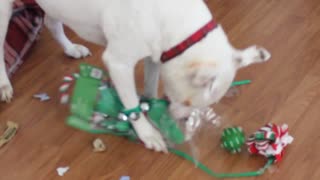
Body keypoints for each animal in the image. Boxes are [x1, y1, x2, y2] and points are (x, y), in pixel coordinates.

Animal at [0, 0, 270, 153]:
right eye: (187, 102)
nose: (183, 119)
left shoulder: (155, 56)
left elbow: (149, 87)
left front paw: (150, 106)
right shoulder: (119, 63)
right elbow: (131, 105)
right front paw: (147, 132)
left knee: (51, 22)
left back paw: (70, 47)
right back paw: (4, 84)